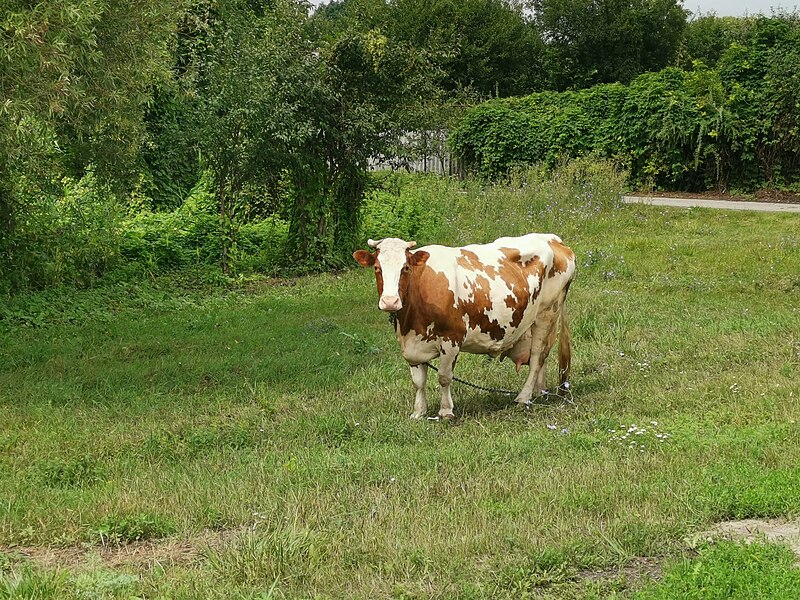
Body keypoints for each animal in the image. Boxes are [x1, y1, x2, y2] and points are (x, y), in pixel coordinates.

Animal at [352, 232, 576, 420]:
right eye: (377, 268)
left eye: (405, 268)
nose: (390, 301)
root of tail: (553, 239)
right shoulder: (412, 344)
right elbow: (418, 381)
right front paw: (418, 412)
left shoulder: (452, 338)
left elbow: (444, 377)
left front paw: (445, 411)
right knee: (543, 357)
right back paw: (539, 392)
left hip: (546, 313)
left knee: (537, 356)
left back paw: (523, 397)